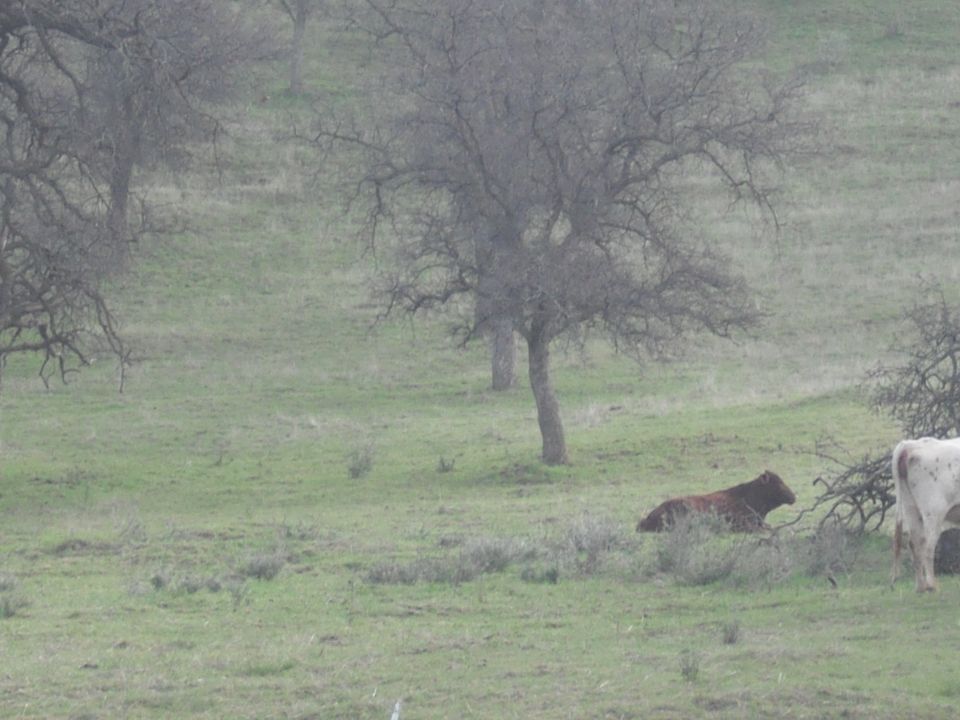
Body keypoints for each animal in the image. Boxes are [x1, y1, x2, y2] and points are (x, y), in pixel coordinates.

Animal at [891, 437, 960, 592]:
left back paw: (920, 587)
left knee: (915, 544)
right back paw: (931, 585)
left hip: (910, 507)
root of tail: (911, 445)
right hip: (933, 511)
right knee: (928, 547)